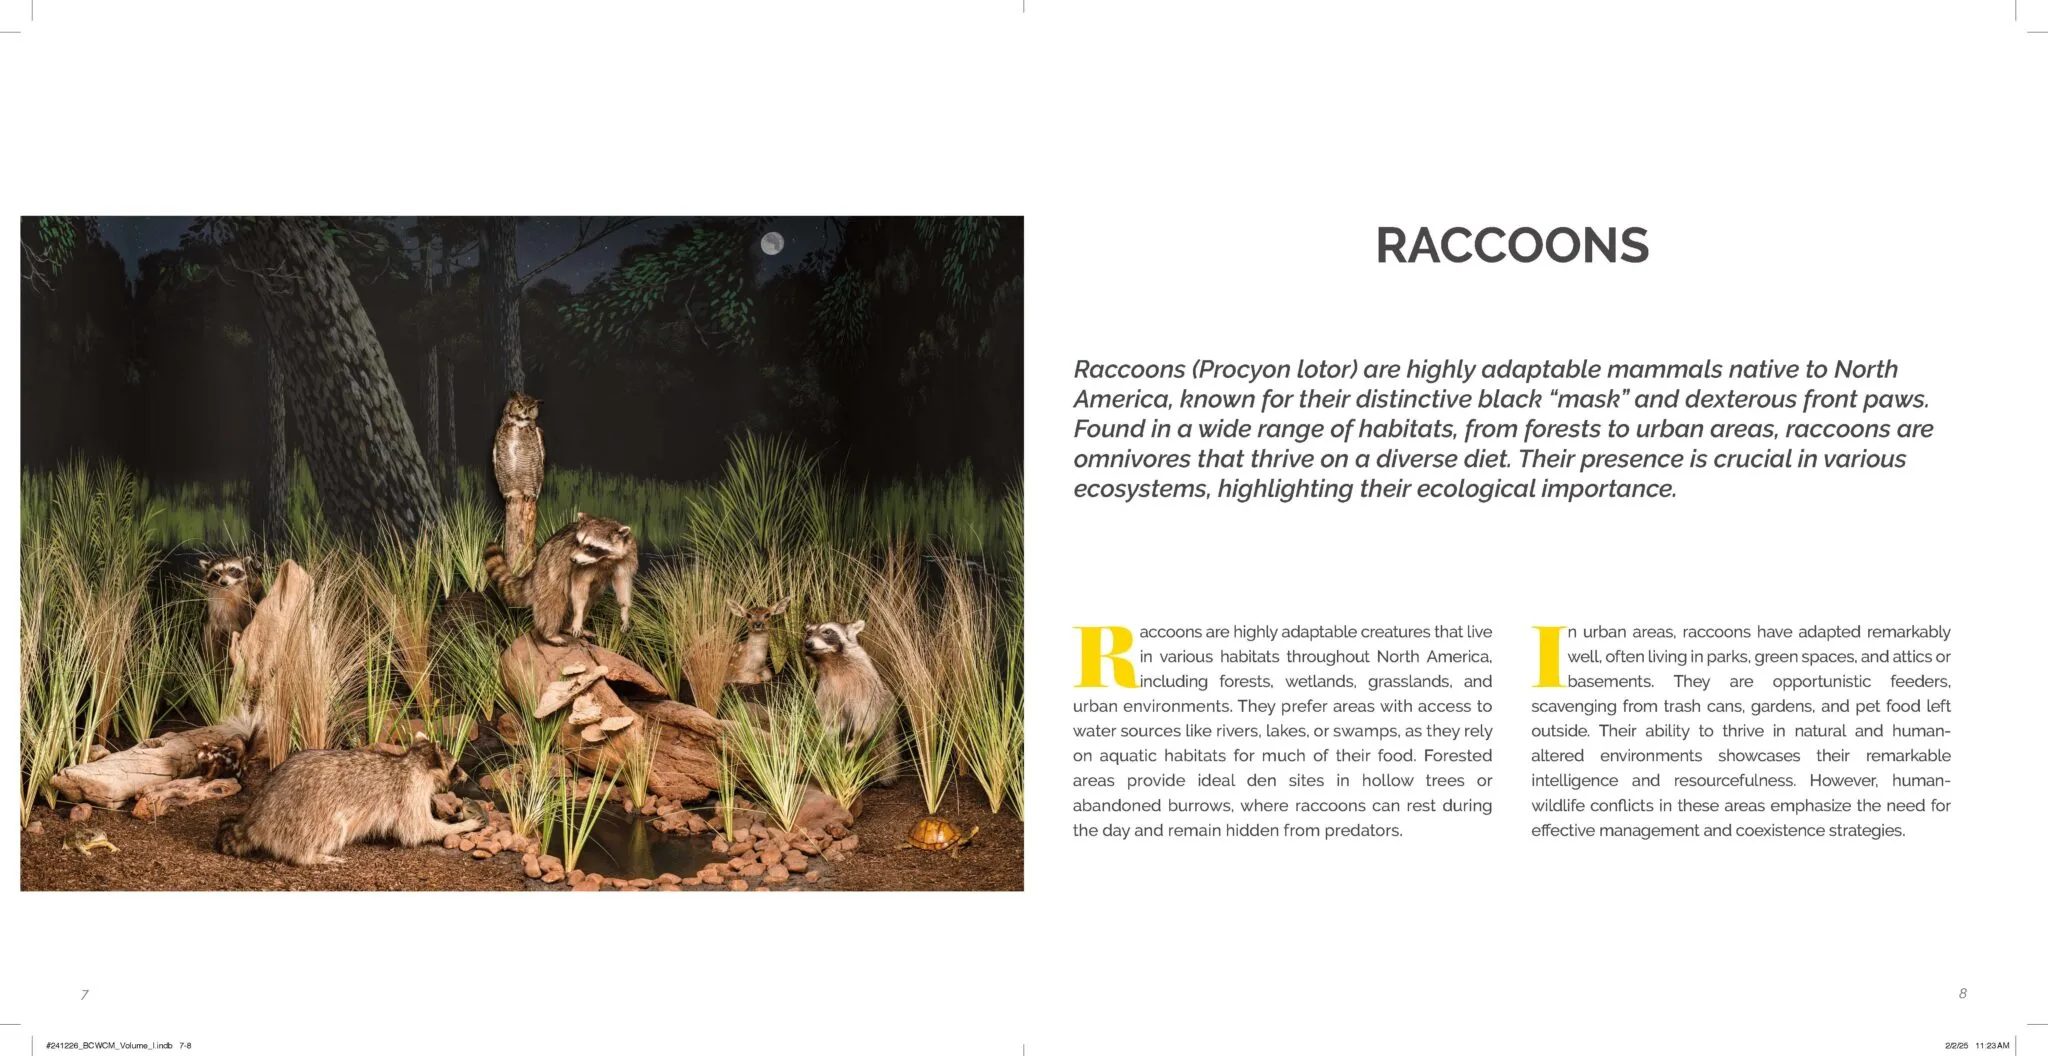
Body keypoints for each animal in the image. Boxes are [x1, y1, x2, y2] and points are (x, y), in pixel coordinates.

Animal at [215, 734, 480, 866]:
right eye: (456, 765)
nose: (466, 775)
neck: (413, 762)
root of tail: (261, 809)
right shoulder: (409, 794)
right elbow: (418, 830)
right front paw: (460, 825)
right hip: (307, 815)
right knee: (329, 830)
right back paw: (310, 857)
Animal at [483, 512, 638, 645]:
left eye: (590, 547)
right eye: (577, 542)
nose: (572, 559)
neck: (604, 559)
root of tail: (535, 567)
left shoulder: (627, 557)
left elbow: (622, 583)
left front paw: (625, 610)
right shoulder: (581, 567)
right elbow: (579, 587)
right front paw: (577, 616)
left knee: (589, 599)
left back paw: (567, 627)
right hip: (548, 574)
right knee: (553, 603)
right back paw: (550, 633)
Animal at [491, 392, 546, 571]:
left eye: (532, 407)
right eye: (520, 405)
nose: (525, 413)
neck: (518, 425)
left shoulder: (533, 471)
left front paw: (528, 494)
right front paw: (510, 495)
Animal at [802, 620, 900, 785]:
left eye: (827, 631)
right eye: (809, 632)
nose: (808, 643)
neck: (831, 661)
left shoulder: (864, 683)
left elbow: (866, 714)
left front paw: (858, 737)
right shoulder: (827, 688)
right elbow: (832, 720)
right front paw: (825, 737)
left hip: (888, 719)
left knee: (885, 748)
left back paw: (885, 776)